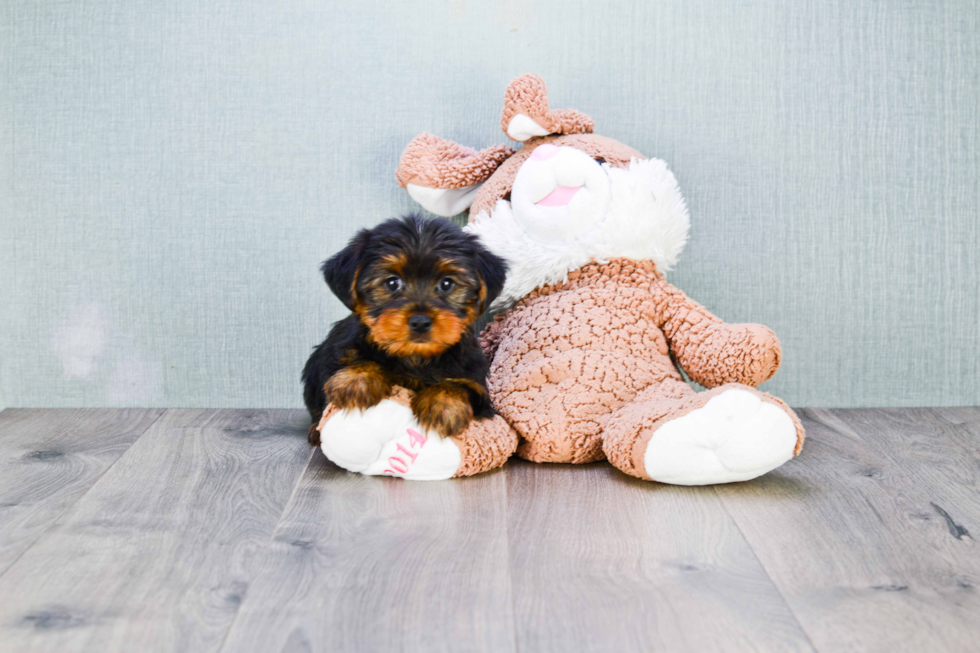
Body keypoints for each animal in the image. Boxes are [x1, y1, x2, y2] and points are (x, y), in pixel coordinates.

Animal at [304, 214, 506, 444]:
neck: (415, 357)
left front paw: (443, 403)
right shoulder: (339, 354)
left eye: (447, 284)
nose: (420, 321)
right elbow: (362, 358)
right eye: (392, 283)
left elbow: (461, 385)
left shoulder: (477, 382)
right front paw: (358, 378)